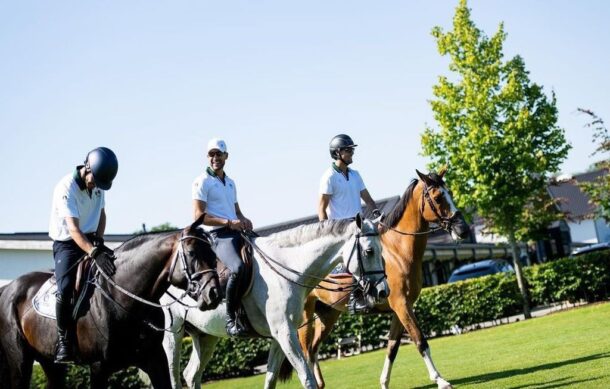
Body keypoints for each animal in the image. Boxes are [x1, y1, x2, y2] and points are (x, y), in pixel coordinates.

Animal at [0, 215, 221, 388]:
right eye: (192, 253)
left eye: (213, 253)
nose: (214, 293)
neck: (123, 300)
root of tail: (7, 289)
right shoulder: (99, 368)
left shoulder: (155, 360)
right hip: (20, 363)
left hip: (50, 363)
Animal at [284, 169, 466, 388]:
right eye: (438, 198)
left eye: (450, 194)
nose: (463, 230)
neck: (398, 252)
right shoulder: (402, 305)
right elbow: (420, 340)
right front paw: (440, 379)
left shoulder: (400, 309)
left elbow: (392, 347)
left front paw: (384, 382)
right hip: (306, 315)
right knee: (304, 351)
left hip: (328, 315)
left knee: (312, 349)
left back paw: (320, 383)